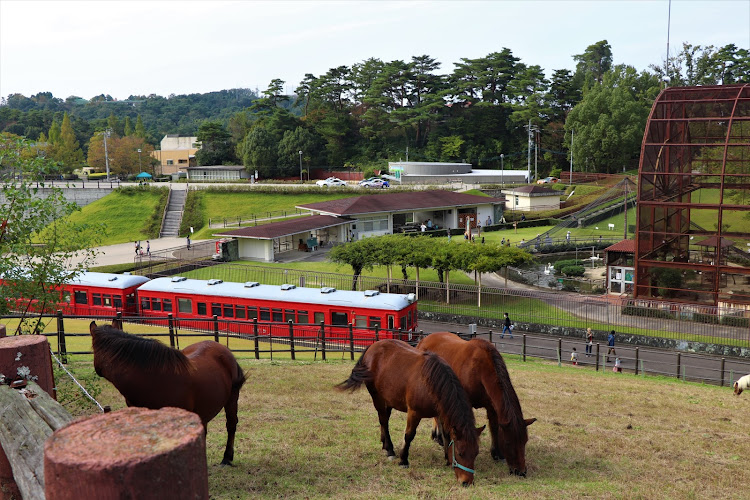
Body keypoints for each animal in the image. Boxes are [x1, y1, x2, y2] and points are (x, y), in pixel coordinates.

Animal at [336, 338, 488, 486]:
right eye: (461, 453)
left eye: (475, 453)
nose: (466, 482)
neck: (431, 383)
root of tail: (372, 347)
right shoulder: (414, 413)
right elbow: (409, 435)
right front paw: (403, 459)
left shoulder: (441, 413)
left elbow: (446, 435)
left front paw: (447, 458)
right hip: (377, 396)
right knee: (383, 420)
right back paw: (390, 449)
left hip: (388, 398)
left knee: (385, 419)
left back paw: (384, 443)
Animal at [418, 332, 536, 476]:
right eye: (508, 443)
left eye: (525, 441)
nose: (521, 471)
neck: (480, 369)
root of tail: (424, 339)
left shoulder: (492, 406)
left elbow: (494, 427)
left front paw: (497, 453)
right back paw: (438, 436)